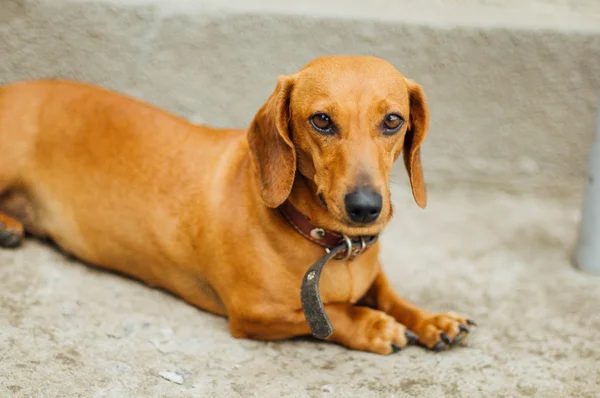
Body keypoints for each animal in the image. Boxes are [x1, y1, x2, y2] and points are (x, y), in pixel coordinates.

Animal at [0, 56, 476, 354]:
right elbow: (335, 314)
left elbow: (389, 295)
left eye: (393, 120)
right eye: (322, 120)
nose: (365, 207)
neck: (330, 245)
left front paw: (431, 320)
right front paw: (373, 325)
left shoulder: (371, 276)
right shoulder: (256, 313)